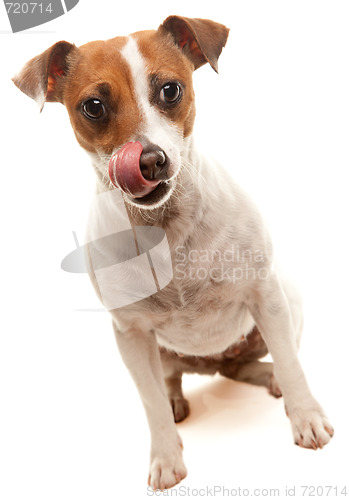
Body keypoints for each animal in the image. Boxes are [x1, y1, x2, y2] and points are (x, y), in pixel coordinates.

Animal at [13, 15, 334, 492]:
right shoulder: (129, 334)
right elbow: (150, 404)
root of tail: (213, 364)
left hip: (286, 305)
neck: (165, 227)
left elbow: (294, 366)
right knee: (172, 383)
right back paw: (178, 399)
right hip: (159, 353)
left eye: (170, 90)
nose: (149, 160)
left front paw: (306, 418)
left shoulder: (266, 297)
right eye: (93, 106)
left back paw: (271, 378)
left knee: (266, 362)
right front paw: (166, 458)